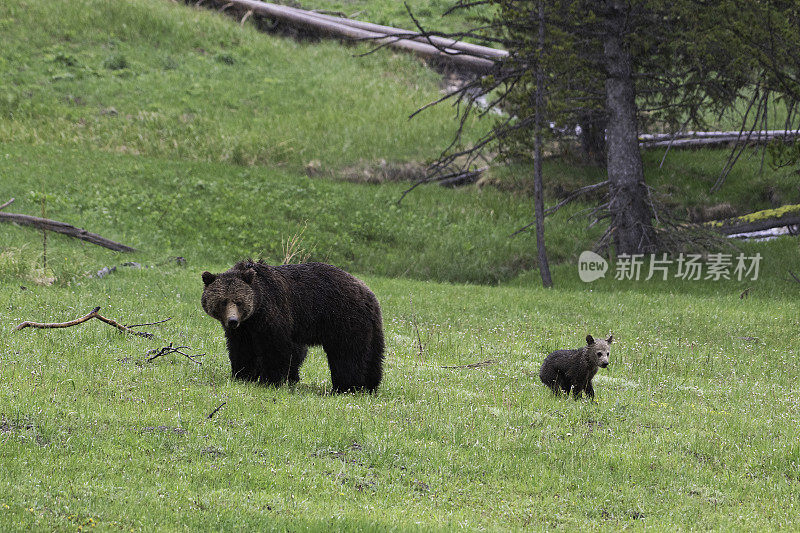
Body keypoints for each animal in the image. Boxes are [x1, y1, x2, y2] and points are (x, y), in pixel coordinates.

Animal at [203, 260, 384, 392]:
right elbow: (241, 350)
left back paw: (346, 386)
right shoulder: (244, 329)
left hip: (344, 319)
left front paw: (271, 380)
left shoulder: (275, 313)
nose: (232, 320)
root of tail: (368, 292)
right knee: (372, 354)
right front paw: (242, 375)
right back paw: (370, 385)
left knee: (347, 355)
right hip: (369, 326)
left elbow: (277, 348)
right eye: (223, 301)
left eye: (239, 301)